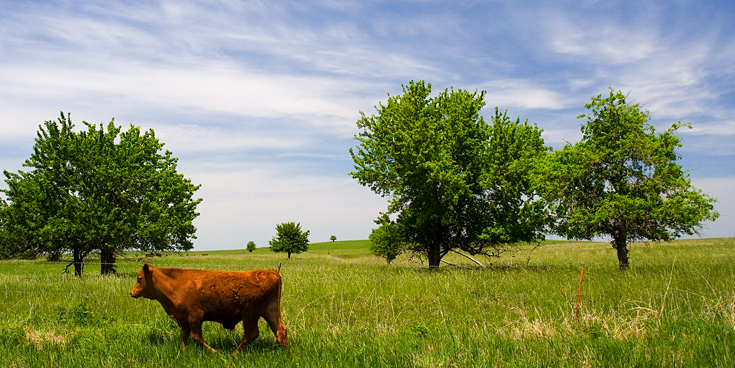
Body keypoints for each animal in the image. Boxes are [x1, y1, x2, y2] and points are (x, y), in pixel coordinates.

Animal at [129, 264, 288, 352]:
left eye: (139, 278)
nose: (131, 292)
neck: (177, 283)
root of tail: (272, 272)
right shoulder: (184, 319)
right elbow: (184, 336)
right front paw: (183, 352)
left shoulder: (195, 317)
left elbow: (196, 337)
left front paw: (214, 352)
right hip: (269, 310)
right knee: (280, 329)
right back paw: (283, 352)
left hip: (250, 314)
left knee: (252, 333)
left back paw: (234, 354)